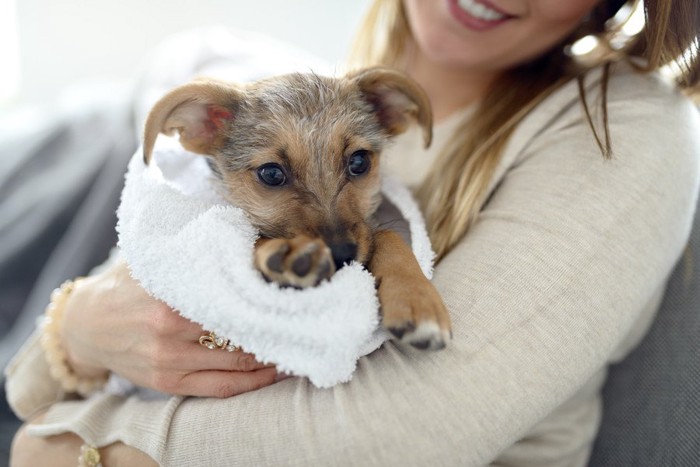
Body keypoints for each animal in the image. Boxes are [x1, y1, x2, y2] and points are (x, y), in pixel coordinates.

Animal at [141, 67, 454, 350]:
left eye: (359, 161)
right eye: (271, 173)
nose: (342, 255)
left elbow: (388, 236)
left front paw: (416, 298)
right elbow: (254, 236)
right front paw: (292, 255)